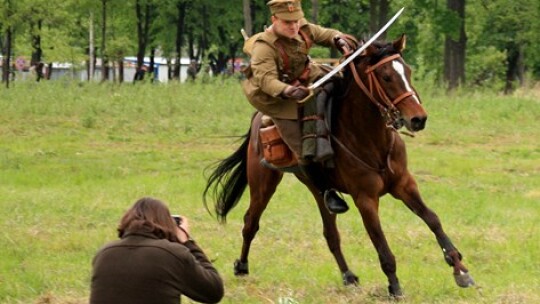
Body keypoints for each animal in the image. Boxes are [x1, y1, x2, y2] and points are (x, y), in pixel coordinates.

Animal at [205, 33, 474, 296]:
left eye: (407, 71)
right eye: (386, 76)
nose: (418, 118)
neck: (372, 139)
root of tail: (258, 118)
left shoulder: (404, 185)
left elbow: (432, 219)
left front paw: (459, 267)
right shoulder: (365, 198)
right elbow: (380, 241)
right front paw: (395, 286)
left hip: (317, 189)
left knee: (331, 234)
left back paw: (348, 275)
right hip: (263, 183)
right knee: (251, 222)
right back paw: (241, 266)